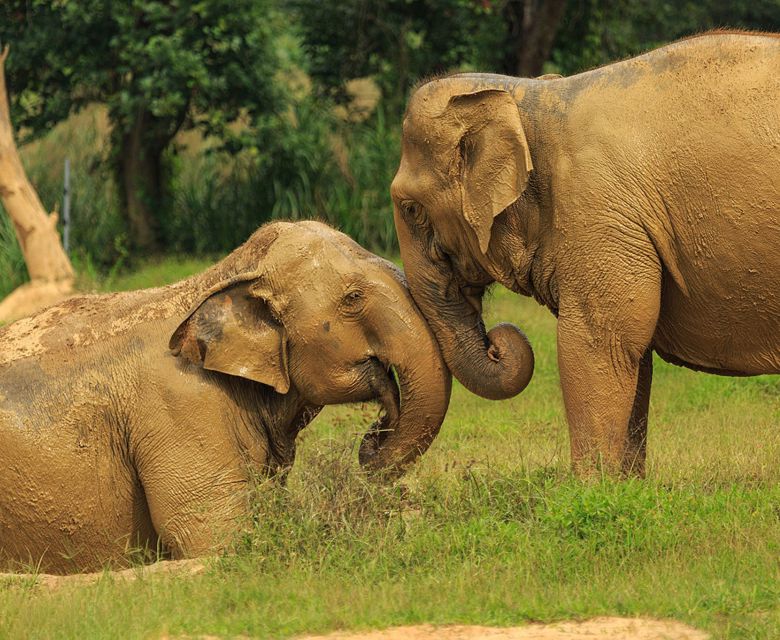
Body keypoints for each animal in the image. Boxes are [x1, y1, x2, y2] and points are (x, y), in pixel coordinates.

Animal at [391, 31, 779, 476]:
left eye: (411, 209)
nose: (497, 342)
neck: (530, 98)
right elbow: (633, 354)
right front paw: (624, 485)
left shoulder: (598, 212)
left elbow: (599, 342)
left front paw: (591, 486)